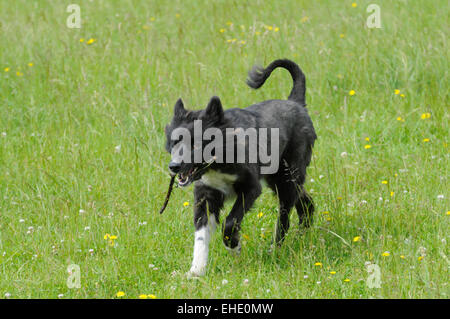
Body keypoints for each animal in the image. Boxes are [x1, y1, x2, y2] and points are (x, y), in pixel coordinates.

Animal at [163, 60, 314, 278]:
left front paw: (234, 246)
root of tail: (296, 103)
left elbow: (230, 222)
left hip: (286, 178)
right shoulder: (206, 194)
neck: (220, 159)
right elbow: (200, 235)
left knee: (285, 216)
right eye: (175, 142)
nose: (174, 167)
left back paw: (275, 249)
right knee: (305, 201)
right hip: (279, 179)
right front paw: (196, 271)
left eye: (196, 144)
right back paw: (304, 231)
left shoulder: (250, 188)